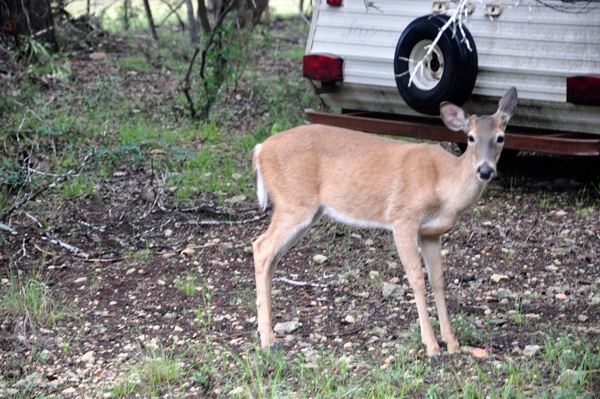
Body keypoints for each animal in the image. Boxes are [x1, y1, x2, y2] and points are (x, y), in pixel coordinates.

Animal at [251, 88, 516, 360]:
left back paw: (266, 333)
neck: (444, 186)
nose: (485, 170)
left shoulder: (431, 232)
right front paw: (431, 345)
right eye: (471, 137)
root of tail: (260, 150)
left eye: (501, 137)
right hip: (294, 203)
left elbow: (438, 279)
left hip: (306, 212)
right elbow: (416, 277)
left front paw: (452, 344)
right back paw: (267, 340)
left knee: (271, 256)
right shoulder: (402, 217)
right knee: (261, 247)